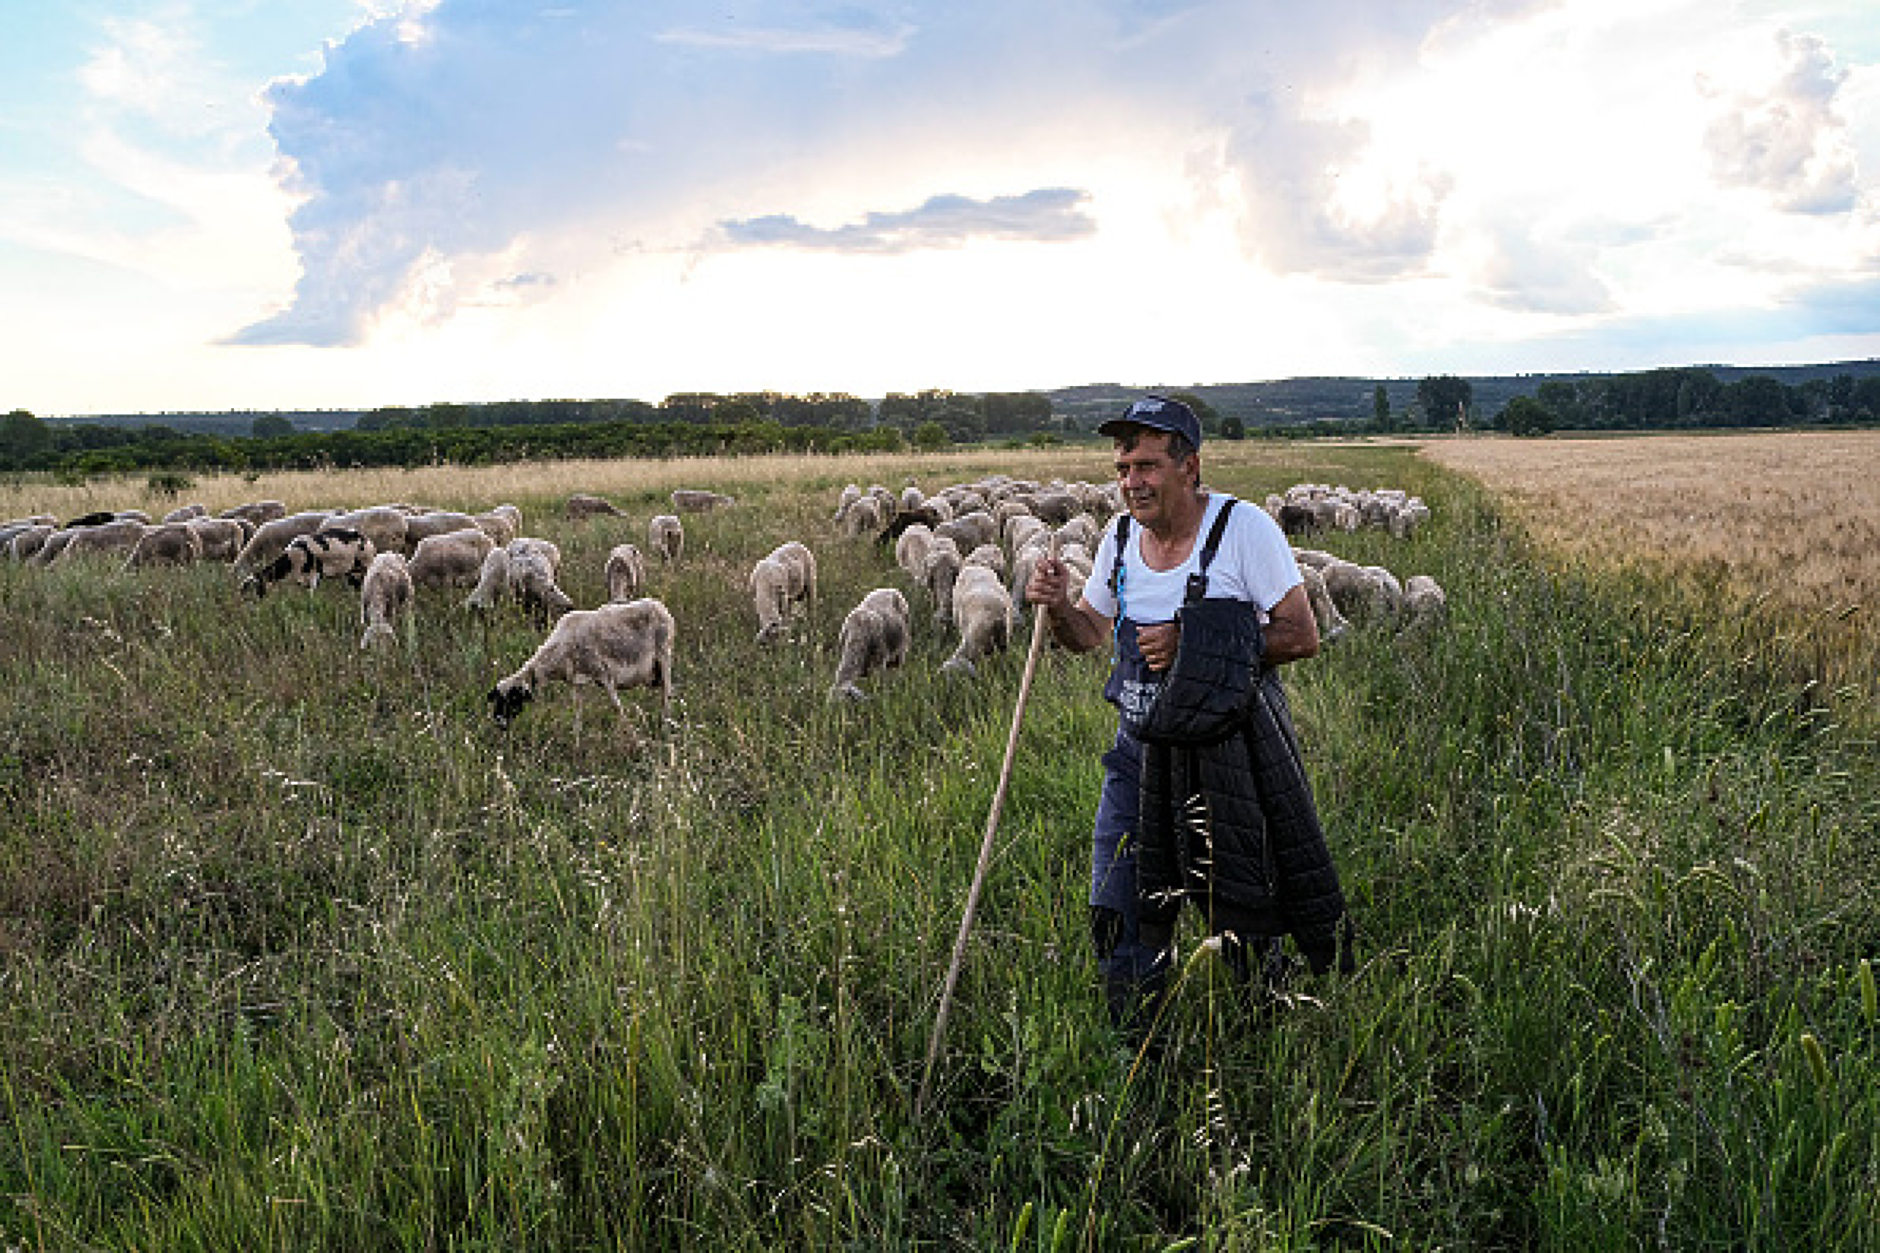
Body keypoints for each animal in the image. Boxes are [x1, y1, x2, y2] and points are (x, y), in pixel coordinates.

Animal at [488, 594, 680, 733]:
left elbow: (617, 707)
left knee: (667, 693)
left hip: (664, 655)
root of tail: (660, 607)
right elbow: (577, 712)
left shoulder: (604, 674)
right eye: (497, 699)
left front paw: (632, 736)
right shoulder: (576, 681)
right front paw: (577, 741)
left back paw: (665, 726)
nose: (500, 724)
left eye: (512, 698)